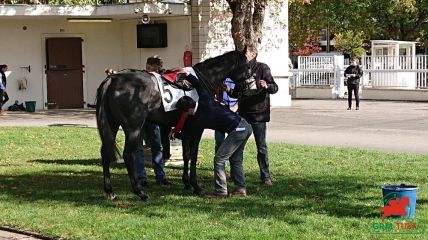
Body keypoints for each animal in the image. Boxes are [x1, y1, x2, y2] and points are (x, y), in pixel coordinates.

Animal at [93, 49, 247, 201]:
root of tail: (111, 79)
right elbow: (193, 155)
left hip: (112, 124)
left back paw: (110, 191)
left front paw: (187, 183)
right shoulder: (197, 129)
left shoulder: (186, 129)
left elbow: (186, 155)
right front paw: (196, 186)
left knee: (105, 152)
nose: (247, 86)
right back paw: (139, 192)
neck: (204, 78)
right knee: (128, 155)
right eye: (247, 64)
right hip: (133, 128)